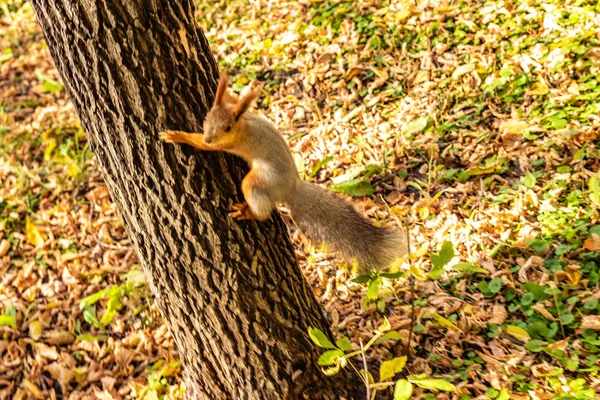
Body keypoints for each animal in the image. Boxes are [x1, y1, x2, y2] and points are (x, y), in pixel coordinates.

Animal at [159, 72, 408, 272]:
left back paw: (248, 212)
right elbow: (233, 100)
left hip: (261, 179)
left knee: (261, 205)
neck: (243, 124)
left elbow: (201, 144)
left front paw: (177, 136)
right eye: (206, 118)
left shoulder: (228, 143)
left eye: (227, 128)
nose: (210, 137)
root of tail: (291, 188)